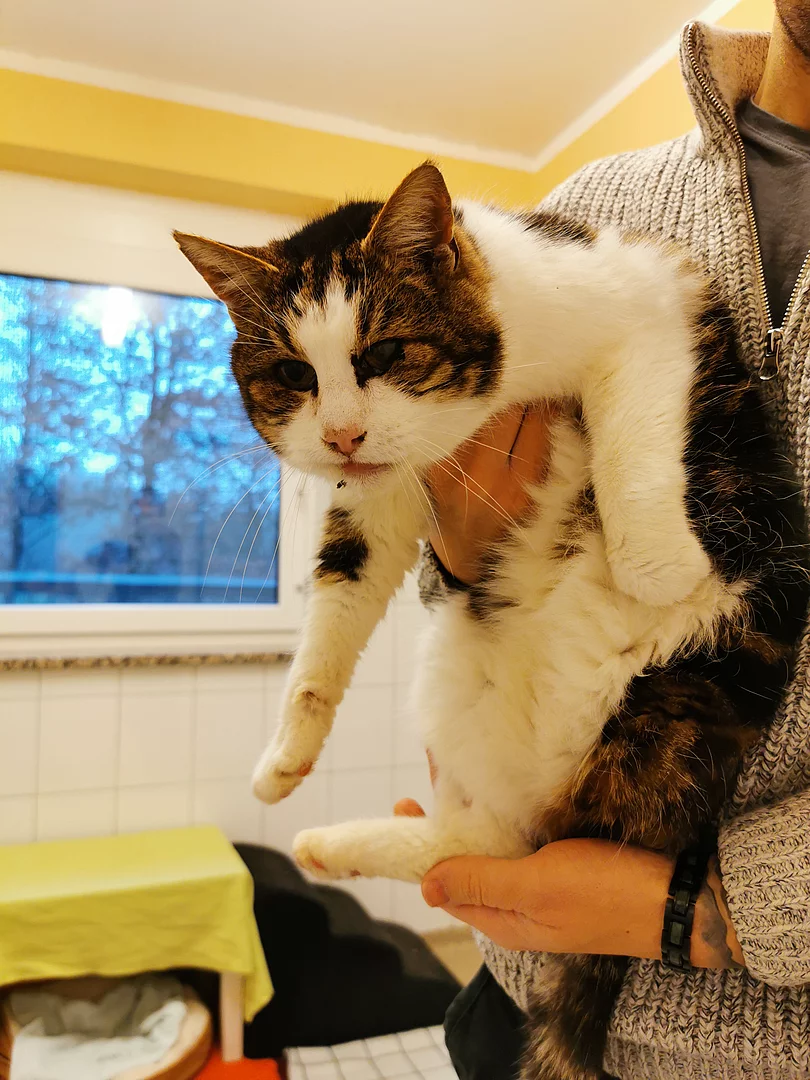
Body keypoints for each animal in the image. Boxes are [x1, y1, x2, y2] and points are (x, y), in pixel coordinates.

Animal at [176, 161, 809, 1080]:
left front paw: (657, 561)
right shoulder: (387, 488)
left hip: (668, 691)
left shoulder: (651, 296)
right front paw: (287, 753)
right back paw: (336, 843)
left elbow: (633, 425)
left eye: (385, 353)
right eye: (294, 376)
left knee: (517, 845)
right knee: (491, 841)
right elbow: (339, 597)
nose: (341, 435)